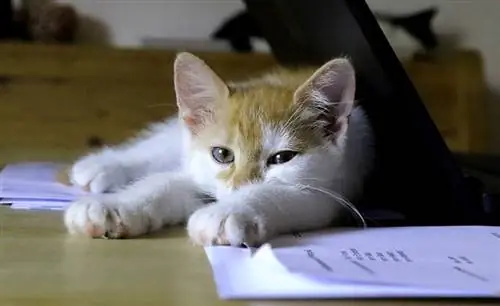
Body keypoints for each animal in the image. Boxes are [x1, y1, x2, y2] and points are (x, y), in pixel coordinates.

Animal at [62, 51, 374, 245]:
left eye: (282, 157)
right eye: (222, 154)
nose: (237, 189)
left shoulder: (329, 192)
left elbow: (278, 192)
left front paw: (227, 212)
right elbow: (163, 182)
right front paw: (114, 206)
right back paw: (103, 166)